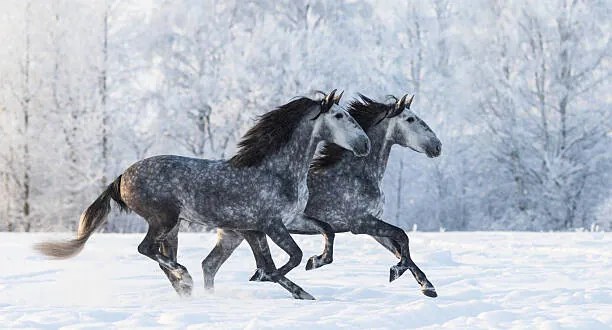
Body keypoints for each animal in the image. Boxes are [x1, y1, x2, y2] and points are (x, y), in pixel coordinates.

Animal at [35, 89, 370, 300]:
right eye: (339, 116)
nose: (364, 145)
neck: (277, 171)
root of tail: (121, 178)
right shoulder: (270, 224)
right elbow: (286, 260)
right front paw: (277, 280)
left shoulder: (289, 220)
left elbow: (327, 232)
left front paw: (316, 265)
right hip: (164, 219)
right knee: (148, 249)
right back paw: (184, 277)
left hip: (173, 228)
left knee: (162, 257)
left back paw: (186, 288)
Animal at [204, 94, 440, 298]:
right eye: (410, 119)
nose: (437, 146)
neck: (356, 174)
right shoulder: (361, 223)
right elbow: (402, 237)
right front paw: (399, 273)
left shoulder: (372, 226)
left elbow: (400, 250)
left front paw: (427, 287)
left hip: (233, 234)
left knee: (210, 265)